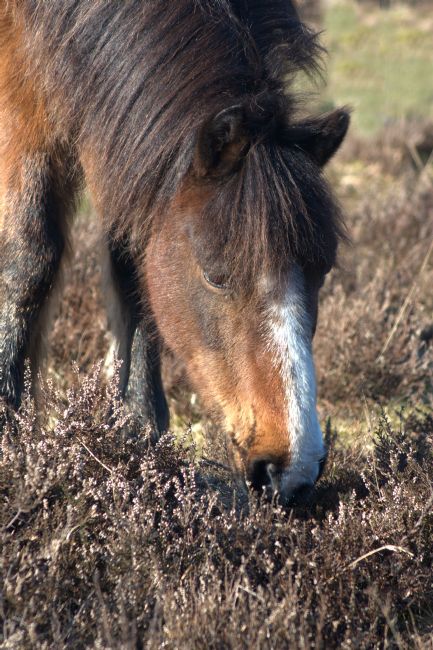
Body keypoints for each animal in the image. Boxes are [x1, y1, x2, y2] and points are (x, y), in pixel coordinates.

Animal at [0, 0, 349, 504]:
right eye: (216, 275)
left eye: (322, 271)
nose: (292, 472)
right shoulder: (23, 93)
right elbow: (29, 257)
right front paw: (11, 433)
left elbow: (133, 272)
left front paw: (137, 432)